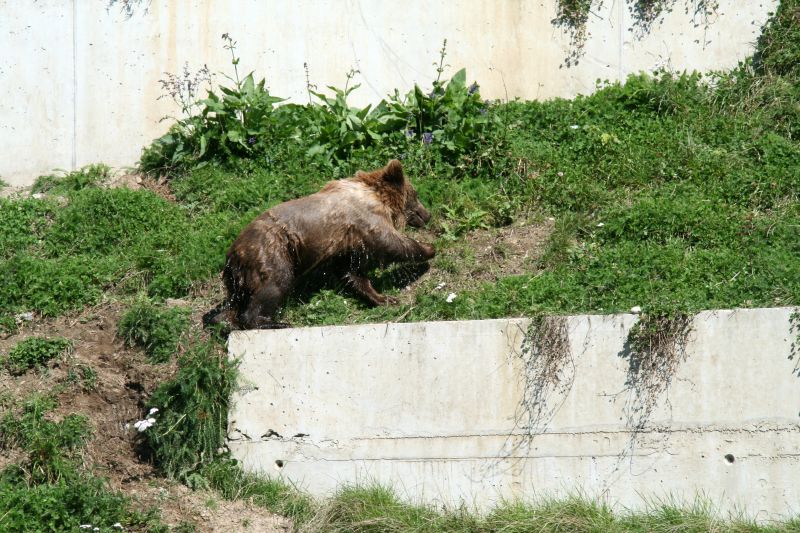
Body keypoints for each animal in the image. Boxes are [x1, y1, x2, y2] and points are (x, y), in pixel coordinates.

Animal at [203, 159, 434, 328]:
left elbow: (351, 272)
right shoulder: (366, 219)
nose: (428, 215)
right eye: (416, 195)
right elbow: (391, 243)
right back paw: (274, 322)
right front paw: (428, 249)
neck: (377, 197)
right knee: (274, 283)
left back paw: (223, 320)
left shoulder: (347, 242)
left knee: (234, 301)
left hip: (239, 276)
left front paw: (383, 297)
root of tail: (232, 255)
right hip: (271, 250)